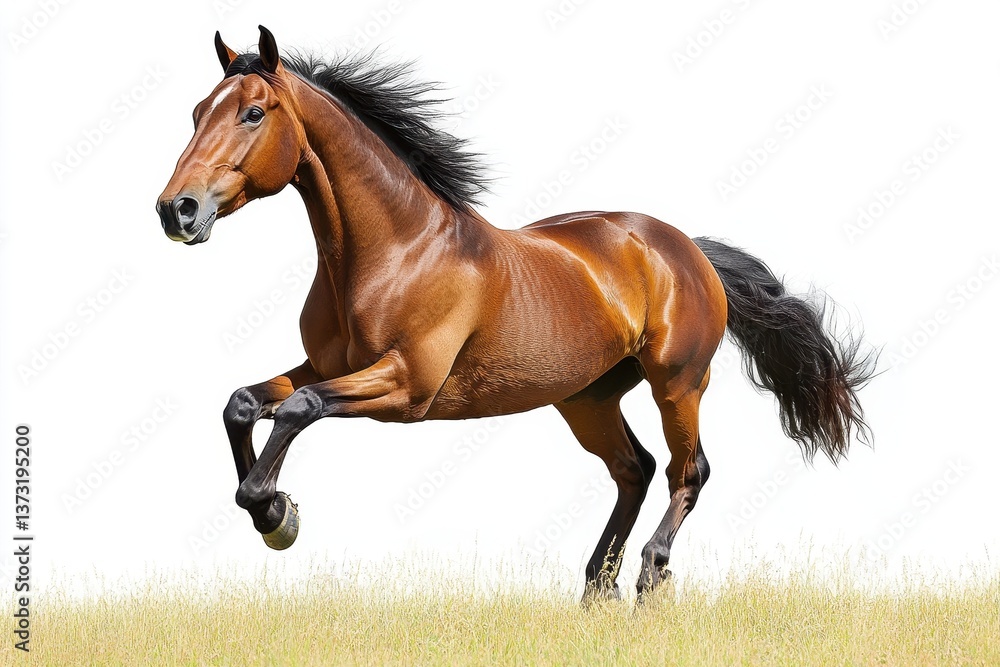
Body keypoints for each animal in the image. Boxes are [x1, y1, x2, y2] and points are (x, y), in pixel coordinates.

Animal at [156, 26, 874, 601]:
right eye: (195, 112)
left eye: (253, 112)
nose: (176, 210)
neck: (395, 250)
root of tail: (685, 248)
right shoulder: (327, 364)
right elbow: (245, 403)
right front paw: (272, 507)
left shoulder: (407, 387)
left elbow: (300, 407)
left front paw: (275, 514)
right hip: (587, 397)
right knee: (634, 469)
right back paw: (597, 585)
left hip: (677, 383)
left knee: (686, 471)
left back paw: (648, 575)